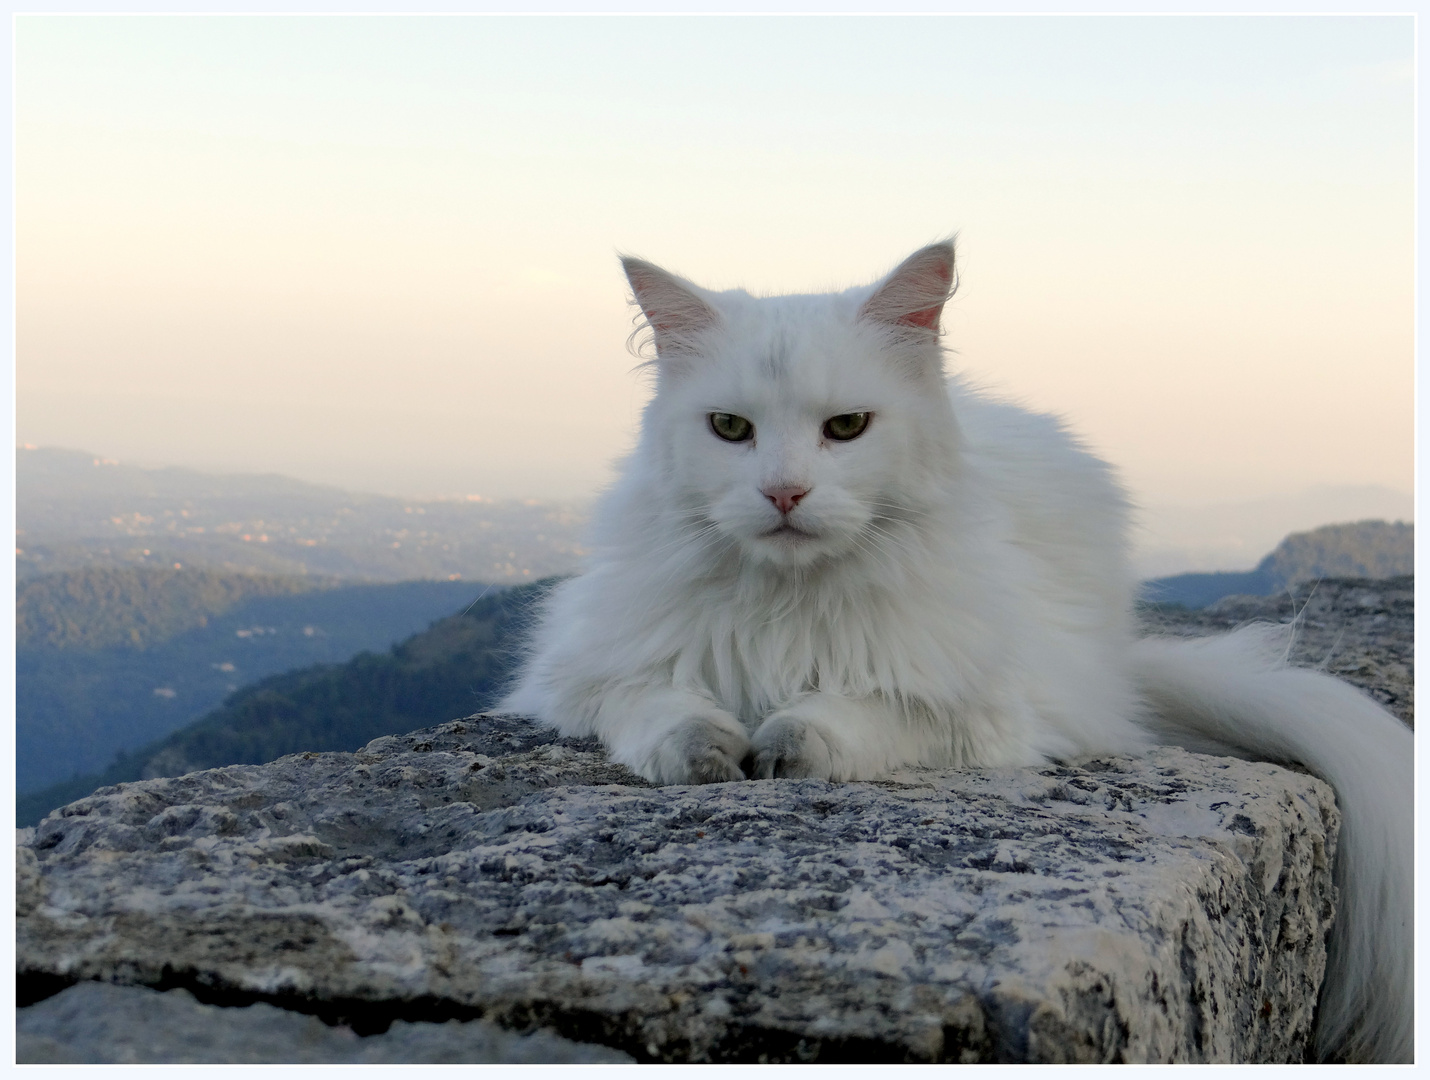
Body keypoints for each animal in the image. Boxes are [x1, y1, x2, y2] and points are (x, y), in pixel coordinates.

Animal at [500, 238, 1407, 1064]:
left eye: (846, 429)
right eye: (730, 429)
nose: (784, 493)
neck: (791, 600)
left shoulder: (975, 709)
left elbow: (854, 714)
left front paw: (789, 743)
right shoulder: (586, 671)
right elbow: (661, 708)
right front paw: (706, 751)